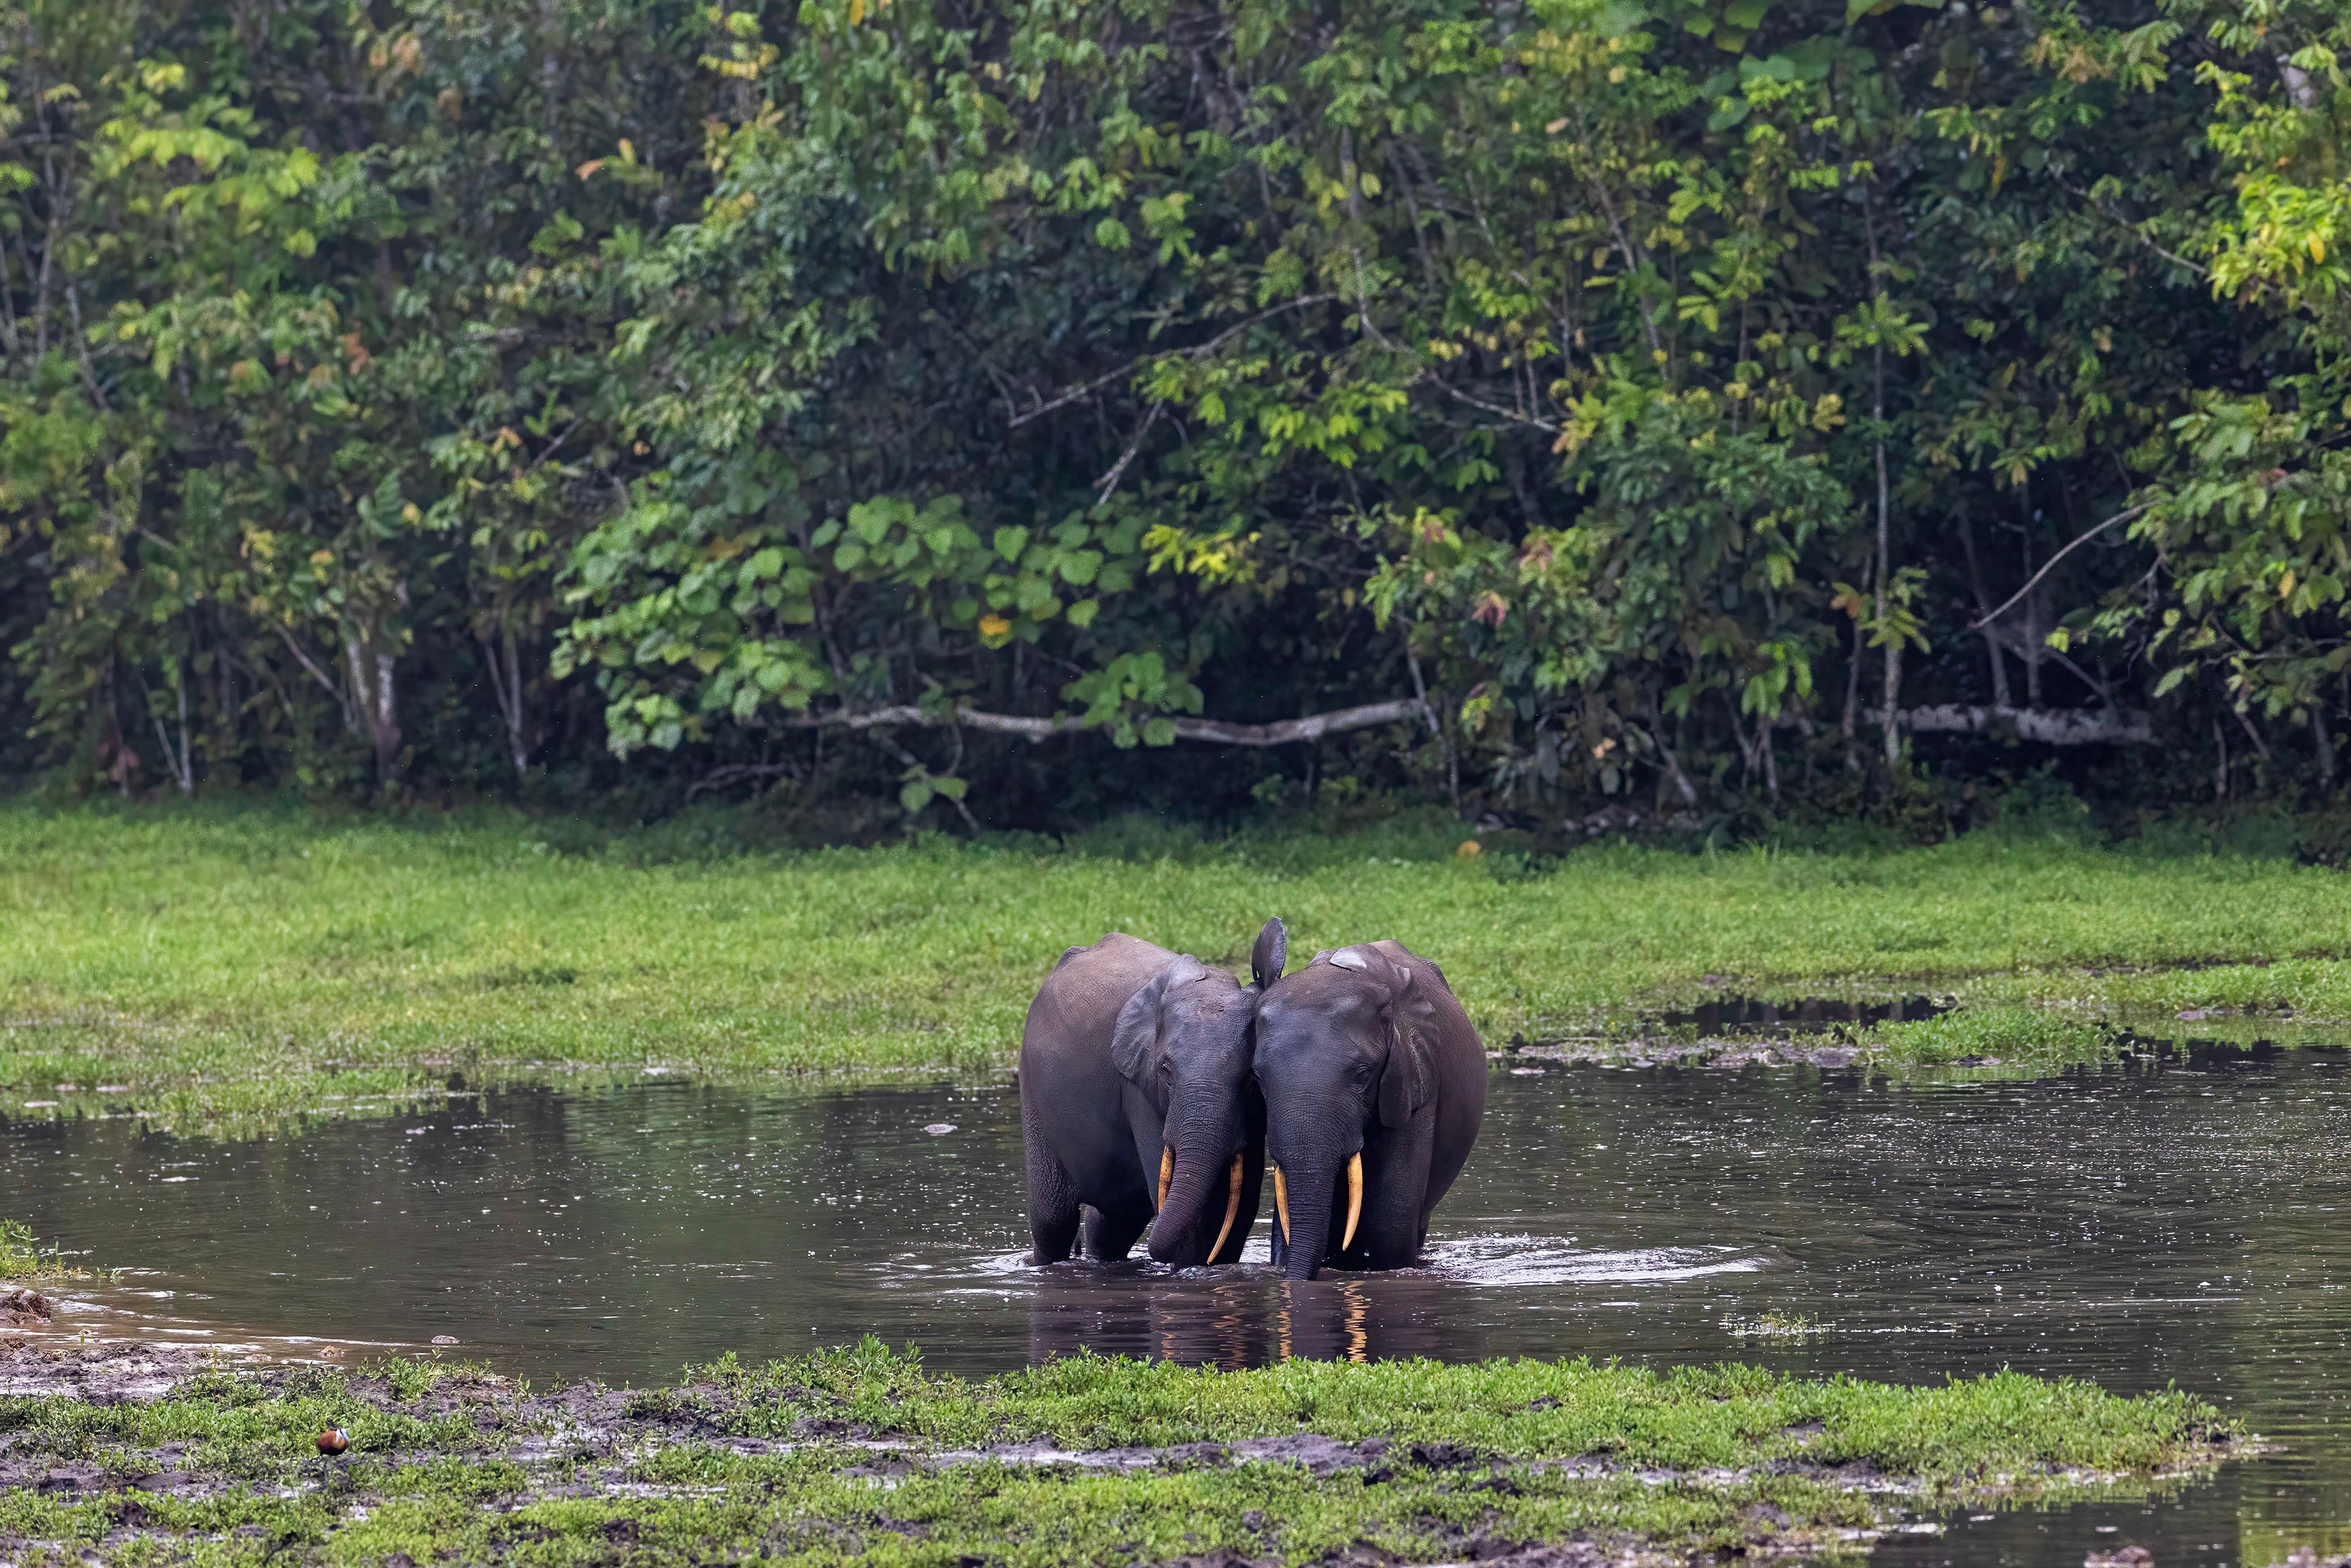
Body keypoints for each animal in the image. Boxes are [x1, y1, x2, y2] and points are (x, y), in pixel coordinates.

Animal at [1018, 918, 1287, 1267]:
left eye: (1249, 1079)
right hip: (1034, 1090)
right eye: (1166, 1071)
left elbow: (1241, 1206)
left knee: (1113, 1223)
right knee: (1054, 1222)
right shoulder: (1138, 1087)